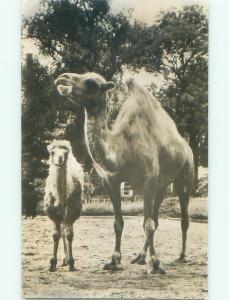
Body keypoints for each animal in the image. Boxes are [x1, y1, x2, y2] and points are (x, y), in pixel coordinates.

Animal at [43, 141, 84, 272]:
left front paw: (71, 263)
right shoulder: (52, 211)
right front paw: (52, 263)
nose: (60, 159)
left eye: (66, 153)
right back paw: (63, 259)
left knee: (65, 229)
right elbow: (56, 235)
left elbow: (69, 234)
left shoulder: (72, 209)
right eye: (52, 152)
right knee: (62, 230)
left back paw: (66, 259)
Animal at [54, 72, 194, 274]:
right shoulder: (110, 182)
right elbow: (119, 223)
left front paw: (155, 264)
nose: (62, 78)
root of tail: (185, 145)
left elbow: (148, 224)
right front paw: (114, 261)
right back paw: (140, 257)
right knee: (156, 217)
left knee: (182, 217)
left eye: (91, 82)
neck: (122, 150)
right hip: (161, 184)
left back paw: (181, 256)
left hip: (185, 175)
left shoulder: (149, 180)